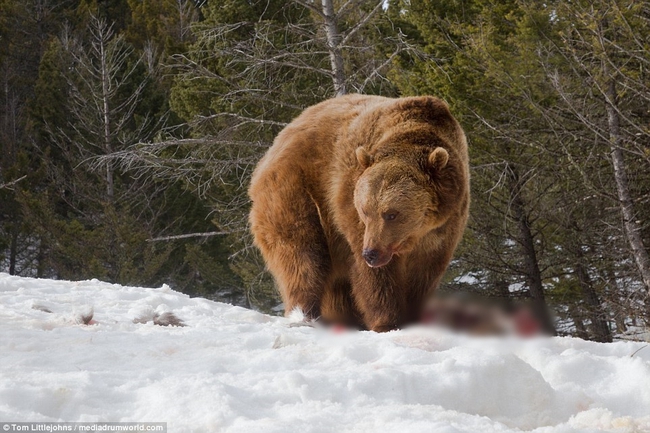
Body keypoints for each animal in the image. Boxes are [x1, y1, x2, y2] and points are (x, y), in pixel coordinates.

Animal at [247, 94, 466, 330]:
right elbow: (376, 277)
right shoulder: (349, 206)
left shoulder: (444, 227)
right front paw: (387, 320)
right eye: (365, 210)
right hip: (296, 193)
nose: (370, 253)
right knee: (303, 254)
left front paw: (412, 316)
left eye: (392, 214)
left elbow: (424, 274)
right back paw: (305, 314)